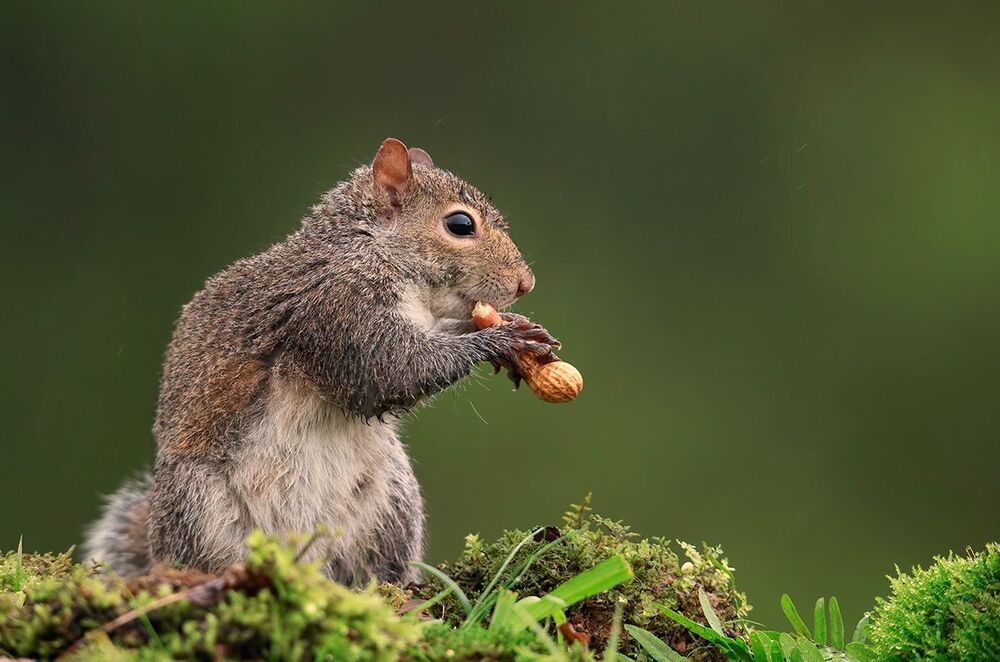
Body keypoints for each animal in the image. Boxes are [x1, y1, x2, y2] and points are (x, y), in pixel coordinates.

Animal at [84, 138, 559, 585]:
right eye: (460, 224)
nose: (526, 283)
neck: (368, 247)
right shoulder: (336, 310)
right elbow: (393, 369)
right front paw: (499, 339)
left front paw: (514, 330)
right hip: (199, 507)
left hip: (392, 505)